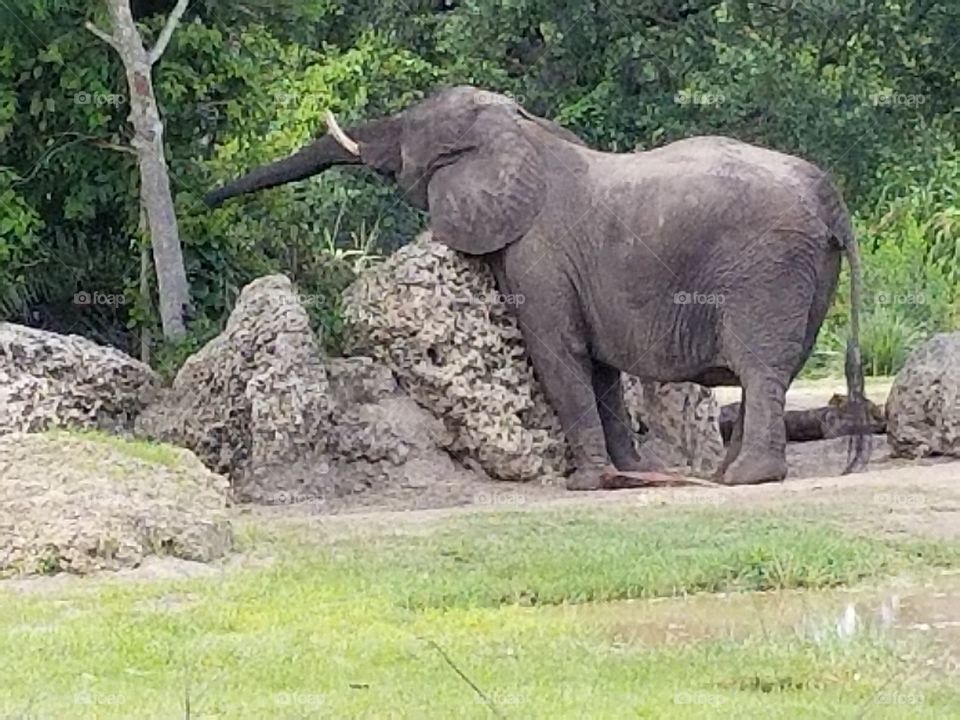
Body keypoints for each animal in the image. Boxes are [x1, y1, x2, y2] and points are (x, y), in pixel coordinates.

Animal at [204, 84, 872, 490]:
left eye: (408, 135)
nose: (207, 199)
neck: (523, 130)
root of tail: (831, 198)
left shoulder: (537, 254)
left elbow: (557, 356)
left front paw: (587, 484)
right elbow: (599, 370)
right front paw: (629, 473)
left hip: (768, 269)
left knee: (762, 368)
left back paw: (742, 479)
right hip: (804, 271)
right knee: (777, 369)